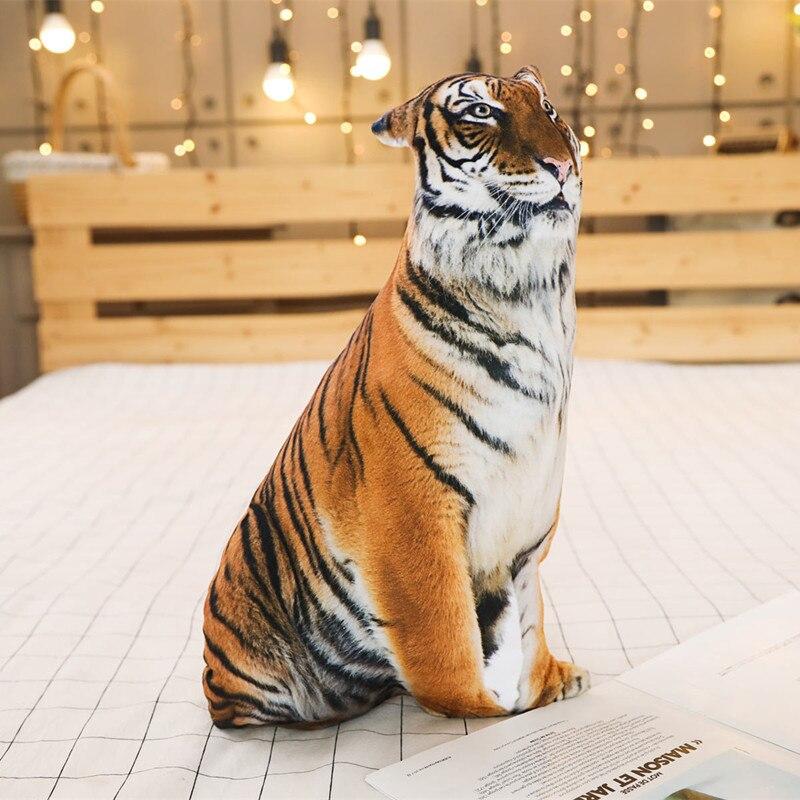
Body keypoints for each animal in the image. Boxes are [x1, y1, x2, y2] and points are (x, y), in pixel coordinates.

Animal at [202, 64, 587, 729]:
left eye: (551, 112)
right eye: (480, 113)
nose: (563, 163)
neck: (531, 291)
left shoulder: (533, 506)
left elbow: (530, 618)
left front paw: (546, 685)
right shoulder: (413, 506)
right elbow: (443, 632)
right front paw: (489, 714)